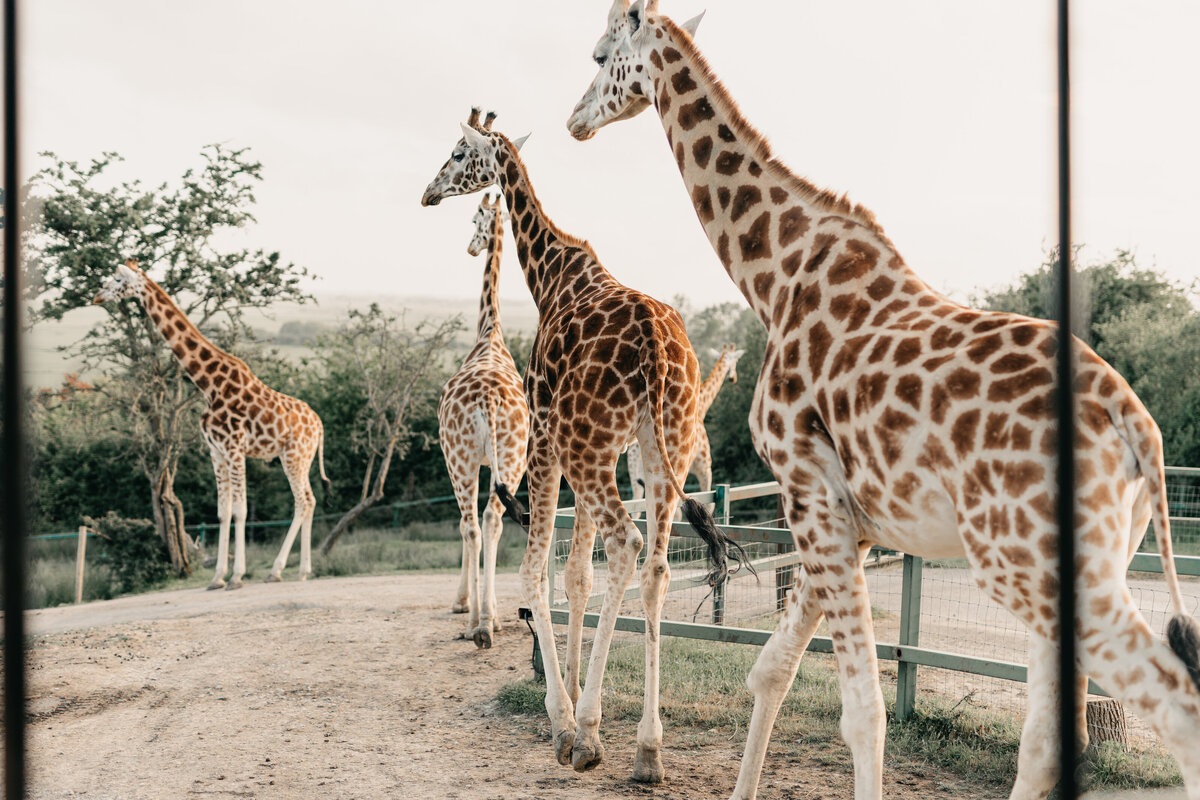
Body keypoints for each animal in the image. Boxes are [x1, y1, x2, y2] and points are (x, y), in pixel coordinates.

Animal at [92, 261, 333, 587]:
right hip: (298, 458)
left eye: (118, 279)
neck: (208, 385)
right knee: (310, 500)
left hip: (294, 456)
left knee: (303, 501)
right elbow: (222, 512)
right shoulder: (216, 452)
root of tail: (319, 425)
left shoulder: (234, 448)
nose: (96, 295)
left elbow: (241, 511)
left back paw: (277, 570)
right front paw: (218, 577)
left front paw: (236, 576)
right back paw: (302, 571)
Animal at [624, 340, 744, 510]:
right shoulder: (704, 467)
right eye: (736, 360)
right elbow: (709, 504)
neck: (702, 406)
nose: (733, 378)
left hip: (635, 474)